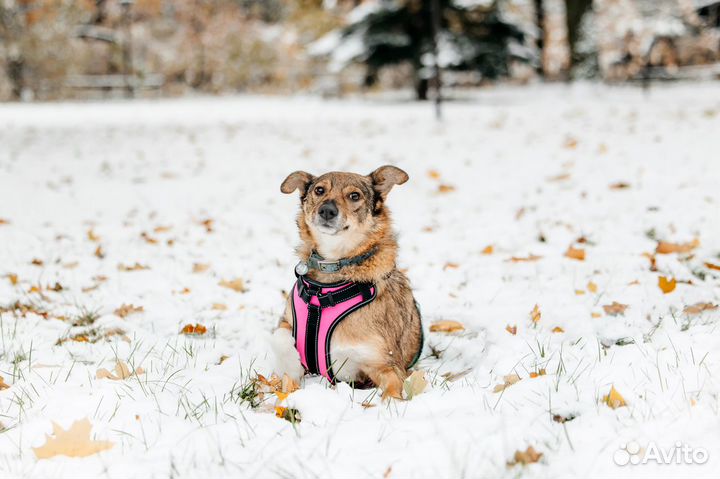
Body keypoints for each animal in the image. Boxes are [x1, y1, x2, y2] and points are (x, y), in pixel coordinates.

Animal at [272, 167, 424, 400]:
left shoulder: (385, 365)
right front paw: (292, 365)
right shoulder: (286, 320)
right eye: (319, 190)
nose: (327, 210)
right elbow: (278, 337)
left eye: (354, 196)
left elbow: (392, 392)